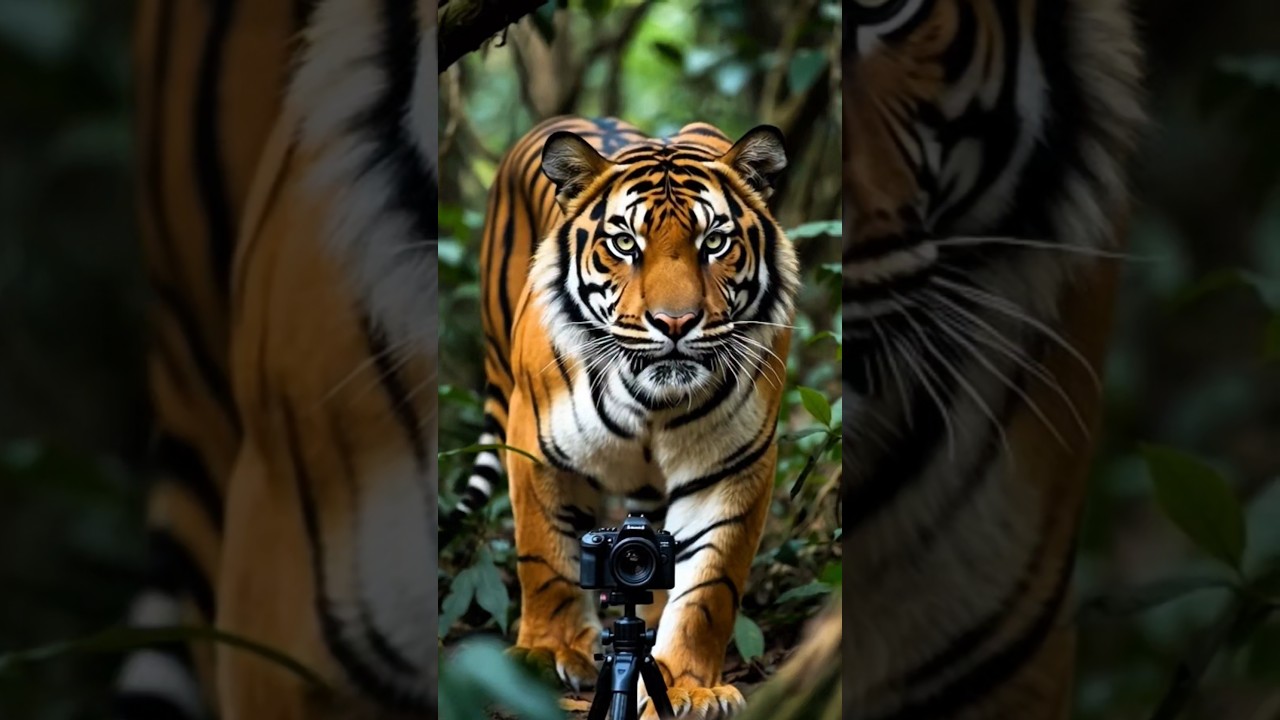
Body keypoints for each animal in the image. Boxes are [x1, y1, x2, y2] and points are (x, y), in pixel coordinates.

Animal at [446, 116, 799, 718]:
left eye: (715, 242)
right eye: (624, 243)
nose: (675, 322)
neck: (654, 402)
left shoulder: (733, 466)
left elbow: (708, 588)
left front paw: (687, 686)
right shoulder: (533, 444)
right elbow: (545, 554)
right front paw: (548, 652)